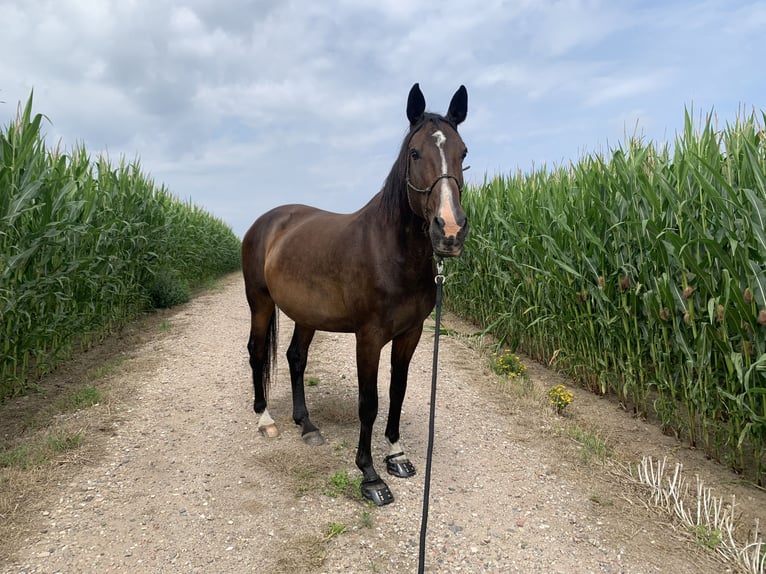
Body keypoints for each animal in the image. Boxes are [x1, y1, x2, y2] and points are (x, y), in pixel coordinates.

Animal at [242, 83, 468, 506]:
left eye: (463, 152)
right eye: (415, 153)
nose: (449, 230)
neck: (389, 251)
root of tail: (266, 222)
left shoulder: (410, 334)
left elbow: (397, 391)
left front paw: (396, 454)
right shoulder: (369, 338)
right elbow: (369, 402)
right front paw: (370, 475)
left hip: (306, 314)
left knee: (295, 358)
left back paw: (307, 425)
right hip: (259, 302)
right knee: (257, 352)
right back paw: (265, 419)